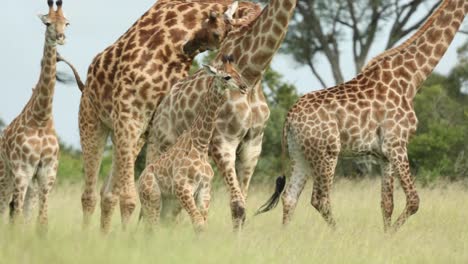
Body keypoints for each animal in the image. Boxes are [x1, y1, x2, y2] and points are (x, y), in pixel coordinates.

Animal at [0, 0, 69, 231]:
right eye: (47, 23)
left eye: (67, 23)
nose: (61, 37)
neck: (41, 119)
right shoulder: (23, 170)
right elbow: (17, 218)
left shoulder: (47, 172)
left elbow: (41, 222)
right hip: (6, 174)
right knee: (5, 209)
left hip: (29, 182)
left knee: (24, 211)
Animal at [137, 55, 247, 231]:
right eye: (226, 77)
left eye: (239, 73)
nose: (244, 87)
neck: (200, 143)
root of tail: (139, 181)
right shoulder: (183, 187)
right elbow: (198, 224)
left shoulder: (204, 190)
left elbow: (202, 224)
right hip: (152, 200)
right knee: (151, 228)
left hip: (168, 205)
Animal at [148, 0, 298, 229]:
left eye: (214, 30)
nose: (186, 46)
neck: (253, 75)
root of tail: (160, 109)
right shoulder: (223, 143)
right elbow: (238, 206)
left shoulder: (253, 146)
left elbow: (242, 204)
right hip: (160, 145)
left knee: (173, 209)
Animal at [256, 0, 468, 233]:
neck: (411, 79)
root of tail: (289, 118)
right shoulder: (397, 144)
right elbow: (414, 201)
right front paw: (392, 235)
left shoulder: (384, 155)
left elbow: (387, 203)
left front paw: (386, 236)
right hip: (326, 152)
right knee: (319, 199)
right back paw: (338, 233)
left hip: (299, 153)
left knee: (290, 197)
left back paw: (285, 234)